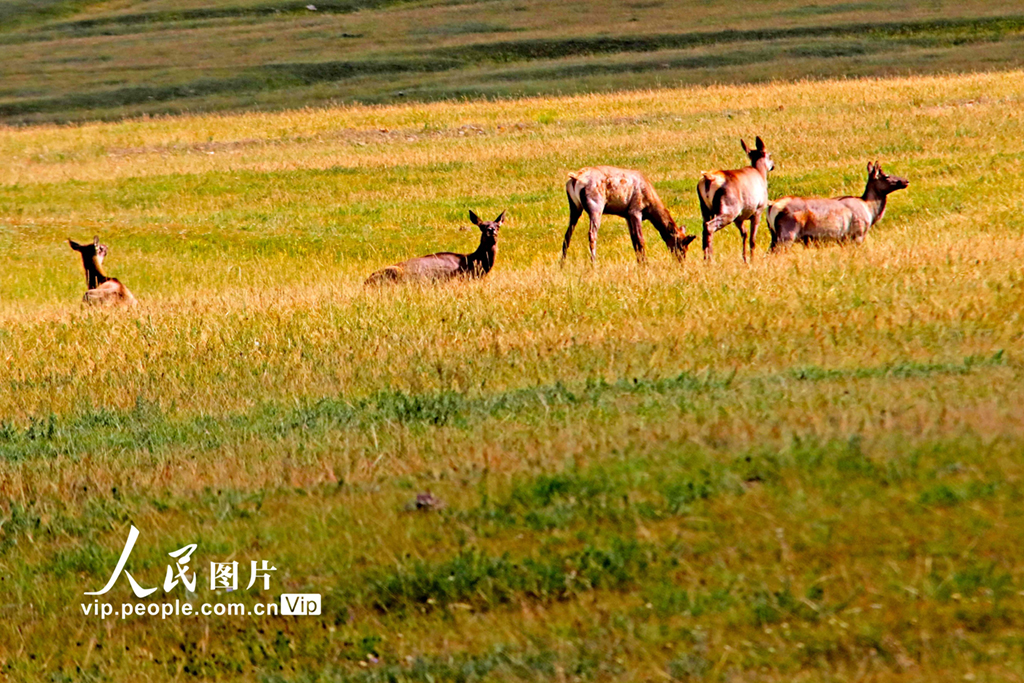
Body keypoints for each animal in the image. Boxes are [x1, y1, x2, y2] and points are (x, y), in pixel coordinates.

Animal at [561, 166, 696, 266]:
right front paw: (645, 263)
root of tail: (575, 178)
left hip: (575, 207)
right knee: (592, 233)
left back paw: (562, 263)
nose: (681, 263)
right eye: (681, 246)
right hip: (596, 207)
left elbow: (634, 239)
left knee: (567, 234)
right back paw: (593, 263)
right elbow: (640, 239)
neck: (650, 204)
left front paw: (639, 262)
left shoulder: (626, 215)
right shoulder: (635, 211)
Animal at [770, 160, 913, 250]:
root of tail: (771, 207)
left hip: (774, 237)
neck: (870, 211)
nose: (906, 181)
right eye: (885, 176)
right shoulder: (857, 234)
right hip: (788, 234)